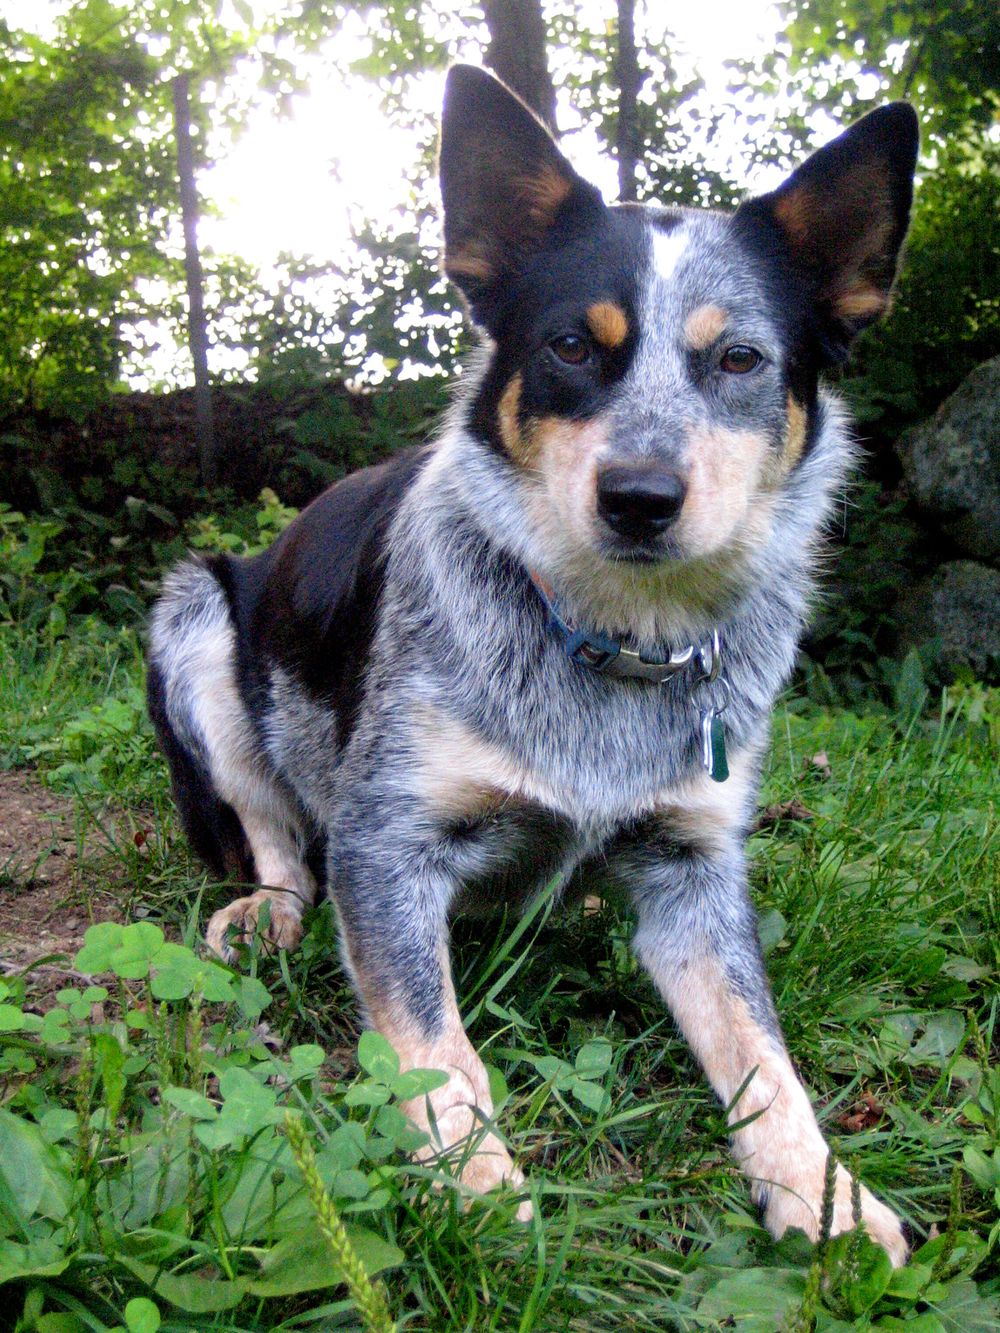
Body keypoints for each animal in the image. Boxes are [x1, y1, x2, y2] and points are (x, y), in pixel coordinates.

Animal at [144, 64, 922, 1258]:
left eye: (739, 357)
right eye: (569, 345)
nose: (640, 496)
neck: (614, 645)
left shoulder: (696, 869)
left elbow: (762, 1048)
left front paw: (823, 1190)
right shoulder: (386, 845)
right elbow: (433, 1047)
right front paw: (474, 1184)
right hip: (197, 622)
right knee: (271, 830)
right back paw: (269, 909)